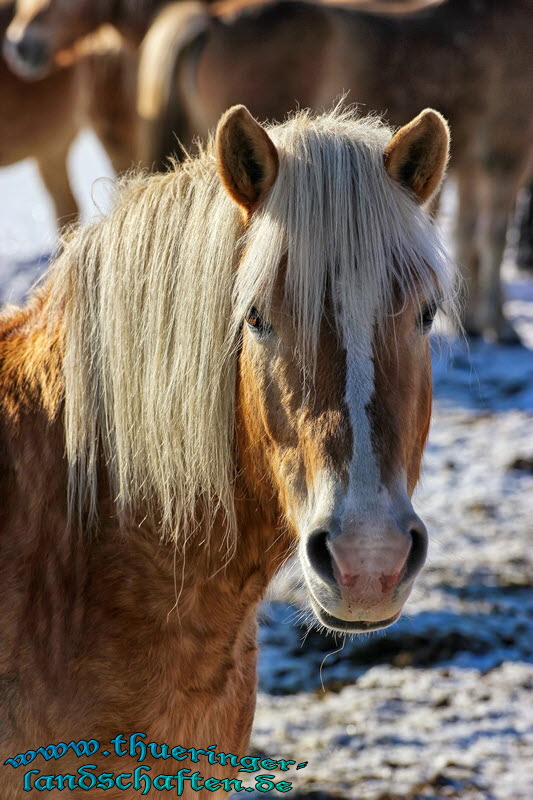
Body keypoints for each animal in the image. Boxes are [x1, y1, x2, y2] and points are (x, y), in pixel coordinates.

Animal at [137, 0, 532, 340]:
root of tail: (211, 20)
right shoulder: (505, 156)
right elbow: (492, 239)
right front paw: (500, 324)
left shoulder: (473, 167)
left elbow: (469, 237)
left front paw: (473, 320)